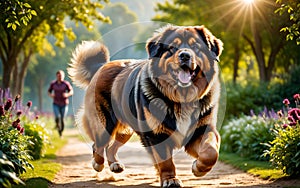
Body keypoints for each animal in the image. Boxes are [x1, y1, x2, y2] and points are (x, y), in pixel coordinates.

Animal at [68, 25, 223, 188]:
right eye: (172, 48)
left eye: (196, 47)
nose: (185, 55)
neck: (181, 98)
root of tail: (101, 67)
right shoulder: (156, 135)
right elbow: (166, 161)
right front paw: (170, 179)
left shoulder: (201, 130)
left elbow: (211, 151)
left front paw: (199, 168)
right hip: (105, 124)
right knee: (98, 145)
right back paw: (97, 164)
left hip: (126, 130)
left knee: (111, 147)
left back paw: (114, 164)